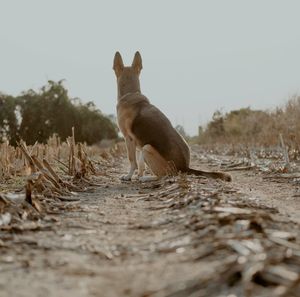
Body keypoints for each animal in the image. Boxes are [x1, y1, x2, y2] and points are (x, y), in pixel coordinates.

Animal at [113, 51, 232, 182]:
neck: (131, 93)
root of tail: (185, 168)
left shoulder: (128, 139)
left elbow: (132, 161)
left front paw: (128, 176)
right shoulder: (137, 142)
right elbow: (140, 164)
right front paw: (138, 175)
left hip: (147, 148)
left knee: (165, 175)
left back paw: (147, 178)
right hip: (145, 147)